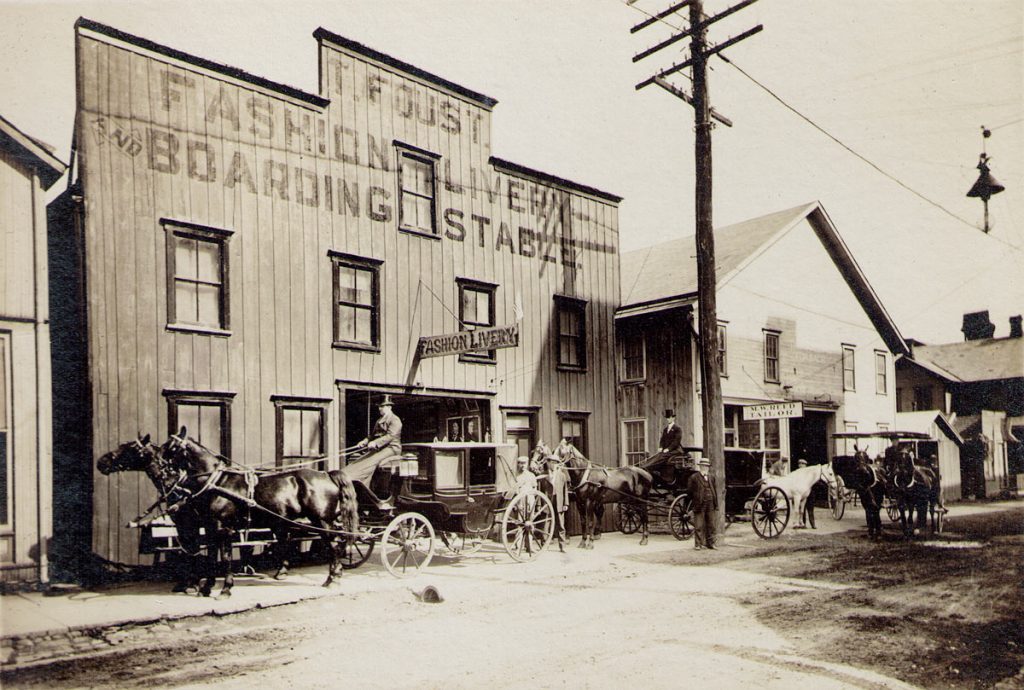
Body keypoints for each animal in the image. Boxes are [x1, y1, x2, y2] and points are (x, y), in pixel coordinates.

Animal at [151, 427, 358, 593]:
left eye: (171, 446)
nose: (158, 467)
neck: (218, 482)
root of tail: (327, 474)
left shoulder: (224, 528)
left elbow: (225, 557)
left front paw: (226, 588)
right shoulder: (211, 527)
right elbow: (211, 556)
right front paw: (207, 587)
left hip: (322, 521)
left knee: (334, 546)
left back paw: (332, 579)